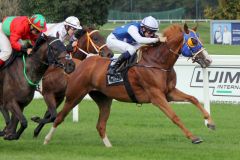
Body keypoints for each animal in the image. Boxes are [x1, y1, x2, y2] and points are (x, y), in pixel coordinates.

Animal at [44, 23, 215, 146]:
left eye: (199, 39)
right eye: (193, 41)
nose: (208, 60)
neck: (157, 62)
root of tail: (80, 63)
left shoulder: (169, 92)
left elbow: (193, 98)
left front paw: (210, 122)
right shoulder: (156, 96)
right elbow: (174, 116)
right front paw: (193, 137)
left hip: (104, 99)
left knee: (100, 125)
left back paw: (109, 146)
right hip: (75, 95)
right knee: (59, 117)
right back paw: (46, 139)